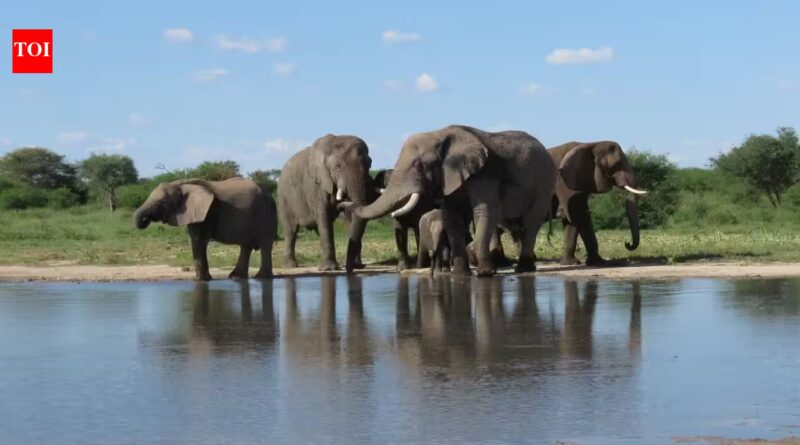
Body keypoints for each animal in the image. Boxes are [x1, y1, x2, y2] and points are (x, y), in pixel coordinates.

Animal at [133, 177, 277, 281]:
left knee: (264, 245)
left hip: (265, 214)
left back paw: (261, 278)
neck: (181, 184)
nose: (145, 220)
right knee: (246, 246)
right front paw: (204, 279)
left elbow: (198, 240)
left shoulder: (205, 213)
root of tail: (270, 194)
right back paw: (236, 277)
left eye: (162, 202)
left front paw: (200, 280)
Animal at [278, 134, 375, 272]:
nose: (349, 268)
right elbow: (323, 216)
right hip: (283, 198)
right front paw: (329, 269)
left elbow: (349, 218)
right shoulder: (315, 184)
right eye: (338, 166)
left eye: (369, 164)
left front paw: (357, 266)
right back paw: (290, 266)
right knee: (291, 230)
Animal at [346, 125, 556, 276]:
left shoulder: (484, 174)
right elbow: (452, 216)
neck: (440, 135)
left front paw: (485, 274)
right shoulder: (449, 178)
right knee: (516, 224)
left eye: (419, 165)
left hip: (545, 181)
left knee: (531, 220)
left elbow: (484, 211)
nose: (345, 201)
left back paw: (523, 269)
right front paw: (460, 275)